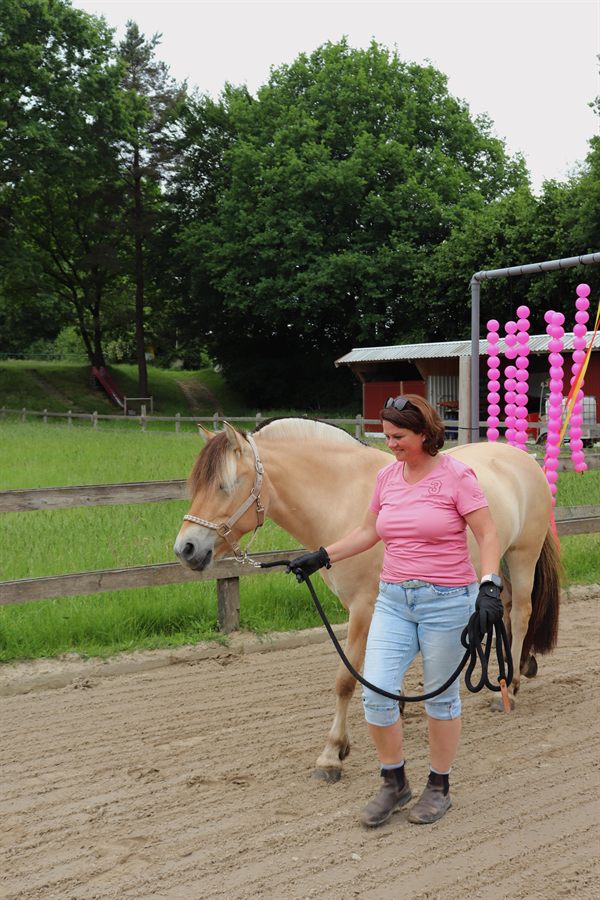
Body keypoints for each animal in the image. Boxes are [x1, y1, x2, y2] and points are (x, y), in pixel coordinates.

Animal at [174, 418, 561, 782]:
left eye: (226, 485)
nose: (185, 549)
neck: (344, 499)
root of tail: (523, 458)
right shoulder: (372, 606)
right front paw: (395, 706)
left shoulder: (363, 608)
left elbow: (346, 679)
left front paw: (332, 754)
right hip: (497, 566)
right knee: (503, 611)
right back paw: (512, 671)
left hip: (522, 556)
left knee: (522, 613)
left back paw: (508, 688)